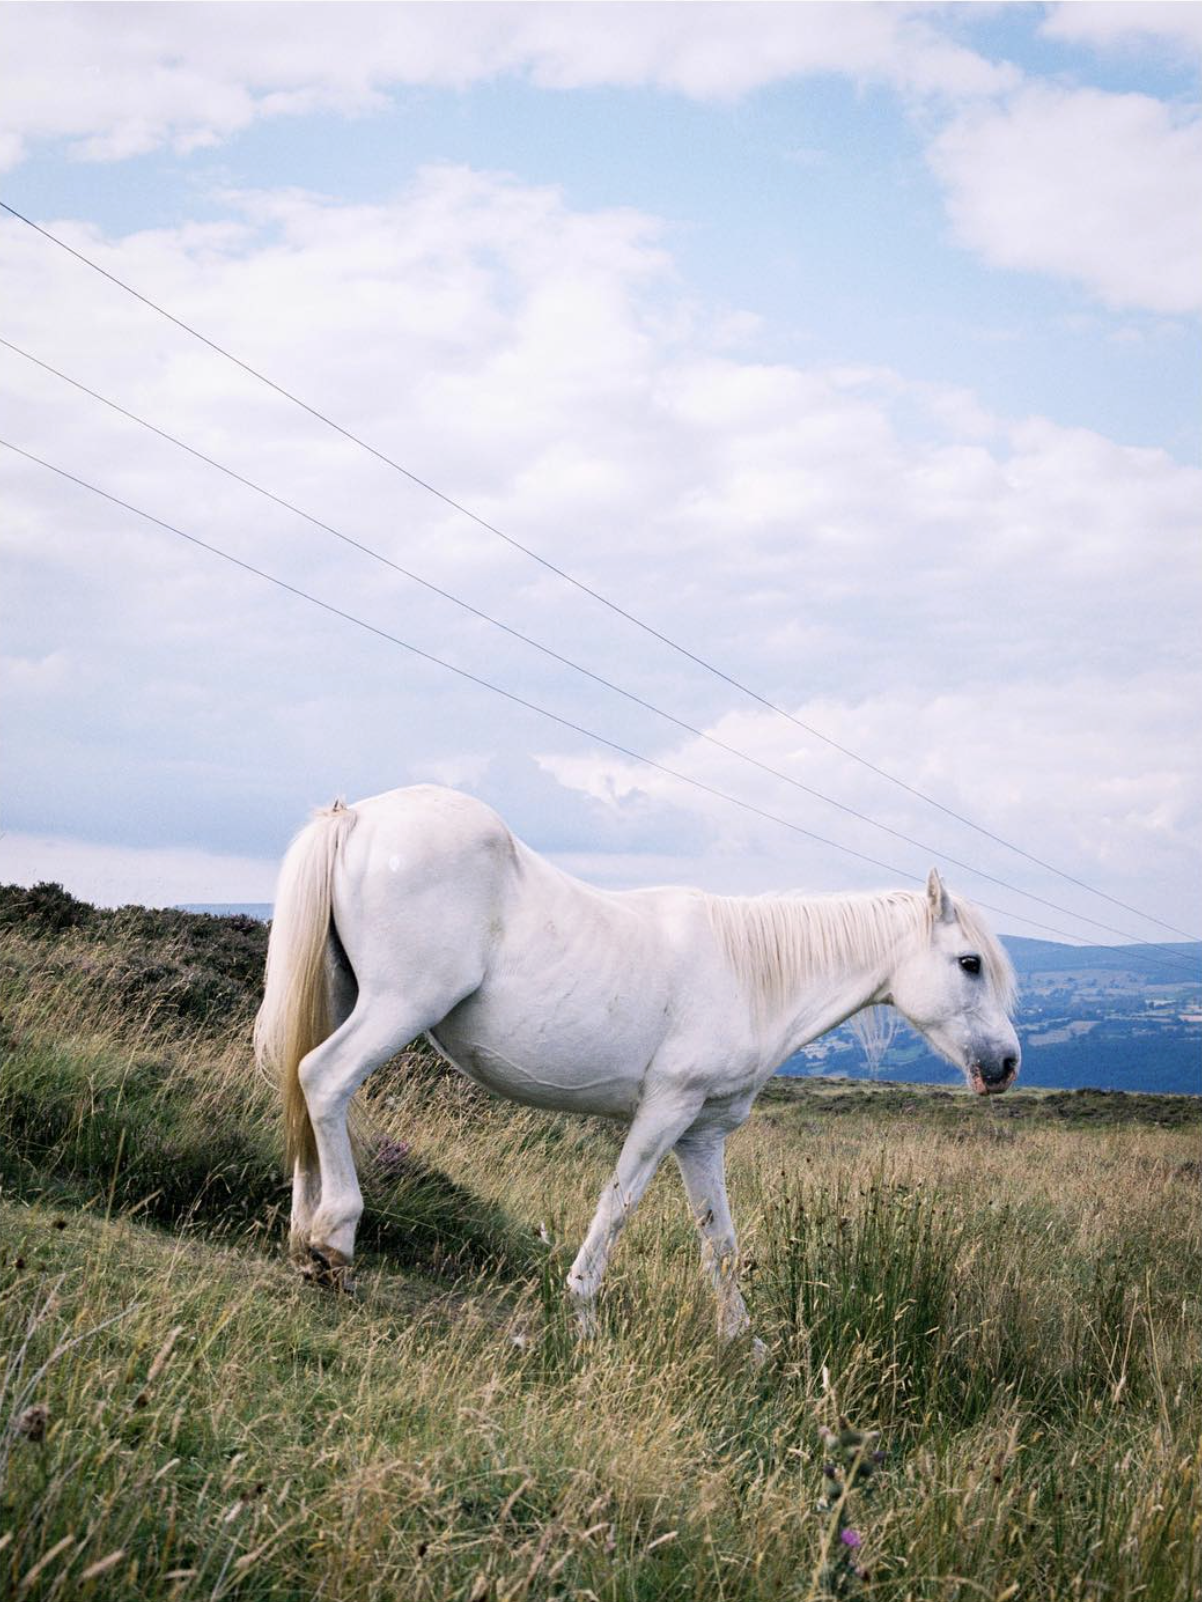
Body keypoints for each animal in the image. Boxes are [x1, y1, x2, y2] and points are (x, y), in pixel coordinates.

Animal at [254, 784, 1019, 1342]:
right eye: (970, 963)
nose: (1006, 1063)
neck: (751, 974)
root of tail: (356, 817)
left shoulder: (701, 1135)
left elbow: (720, 1242)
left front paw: (745, 1344)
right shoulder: (666, 1111)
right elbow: (619, 1205)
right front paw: (584, 1316)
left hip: (340, 994)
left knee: (305, 1093)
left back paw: (304, 1245)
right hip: (398, 1005)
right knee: (325, 1078)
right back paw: (334, 1240)